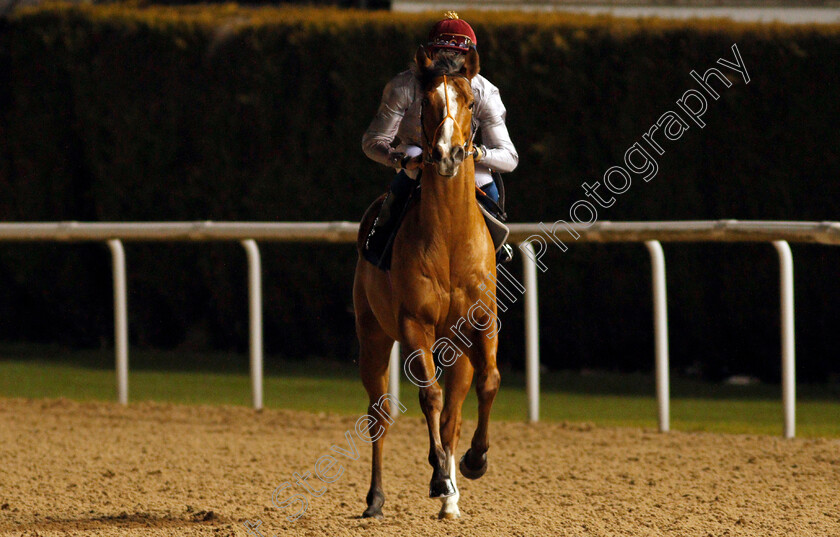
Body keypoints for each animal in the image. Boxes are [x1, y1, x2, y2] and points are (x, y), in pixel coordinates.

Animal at [352, 47, 502, 520]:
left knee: (454, 413)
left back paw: (452, 498)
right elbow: (430, 397)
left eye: (469, 102)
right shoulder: (414, 322)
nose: (448, 154)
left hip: (455, 346)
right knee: (380, 413)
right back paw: (376, 499)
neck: (451, 239)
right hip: (372, 334)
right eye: (427, 104)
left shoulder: (480, 323)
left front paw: (473, 462)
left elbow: (487, 382)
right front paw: (438, 477)